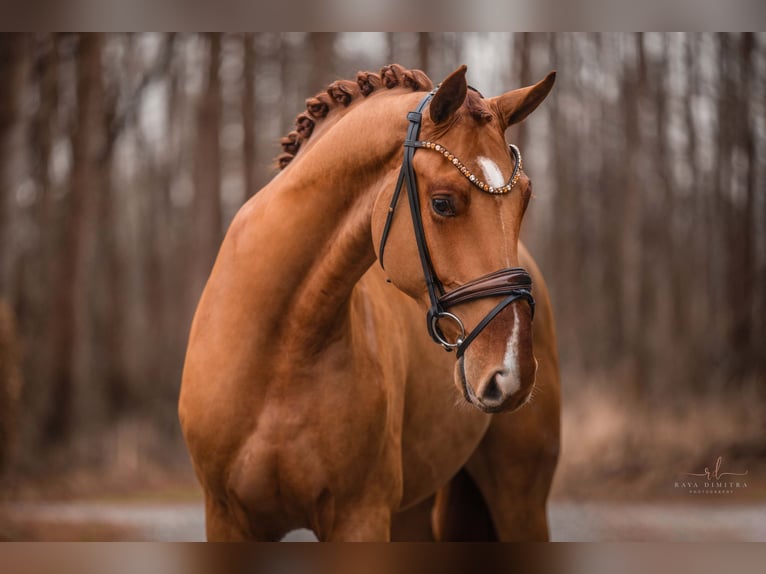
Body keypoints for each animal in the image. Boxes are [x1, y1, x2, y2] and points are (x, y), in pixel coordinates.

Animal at [181, 65, 564, 544]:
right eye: (442, 203)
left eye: (525, 197)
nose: (512, 371)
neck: (282, 349)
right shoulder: (227, 518)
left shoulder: (360, 516)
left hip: (520, 500)